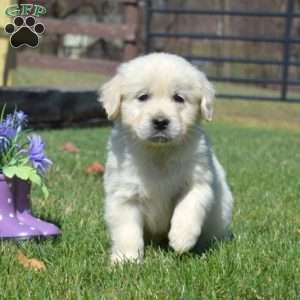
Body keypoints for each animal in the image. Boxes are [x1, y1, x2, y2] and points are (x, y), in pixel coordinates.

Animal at [99, 52, 233, 264]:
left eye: (179, 98)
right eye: (143, 97)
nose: (161, 122)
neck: (159, 152)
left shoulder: (198, 182)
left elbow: (188, 207)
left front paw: (182, 239)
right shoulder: (124, 194)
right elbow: (127, 231)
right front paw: (127, 259)